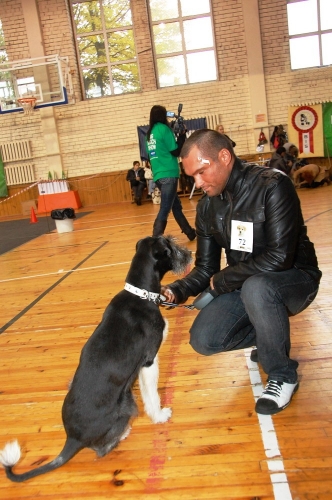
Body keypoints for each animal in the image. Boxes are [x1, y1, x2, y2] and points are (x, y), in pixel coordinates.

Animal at [0, 236, 192, 482]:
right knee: (102, 448)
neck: (140, 294)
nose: (189, 254)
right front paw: (160, 416)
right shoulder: (149, 360)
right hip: (126, 404)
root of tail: (72, 440)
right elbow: (152, 395)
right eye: (170, 247)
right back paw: (123, 433)